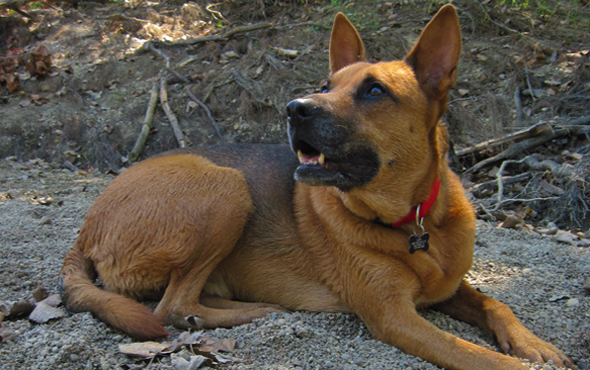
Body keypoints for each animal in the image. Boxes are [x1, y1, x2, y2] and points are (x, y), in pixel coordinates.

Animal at [60, 6, 572, 370]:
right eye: (327, 85)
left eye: (374, 91)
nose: (293, 108)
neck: (411, 223)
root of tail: (85, 229)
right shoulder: (395, 317)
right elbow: (483, 358)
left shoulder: (449, 288)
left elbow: (496, 303)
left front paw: (535, 344)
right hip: (226, 187)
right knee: (172, 306)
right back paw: (261, 311)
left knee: (186, 300)